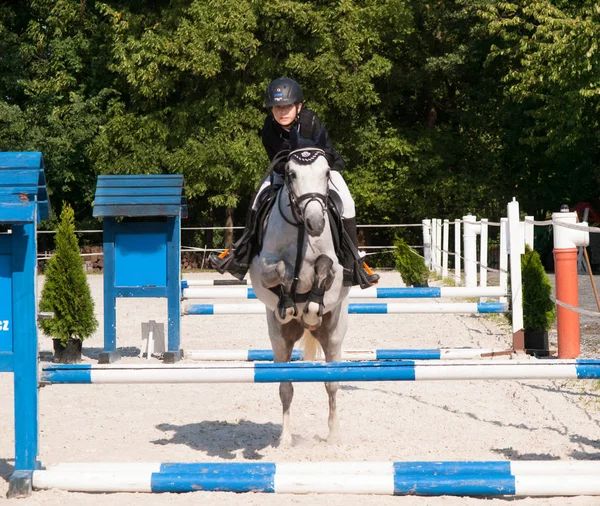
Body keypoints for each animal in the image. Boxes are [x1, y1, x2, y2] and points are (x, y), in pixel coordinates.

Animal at [250, 128, 352, 444]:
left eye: (327, 172)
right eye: (291, 174)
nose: (316, 222)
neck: (299, 229)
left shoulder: (337, 268)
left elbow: (324, 265)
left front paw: (313, 305)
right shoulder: (261, 268)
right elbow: (281, 270)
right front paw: (287, 302)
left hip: (334, 336)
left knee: (332, 385)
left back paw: (334, 437)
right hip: (280, 339)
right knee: (285, 387)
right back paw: (285, 440)